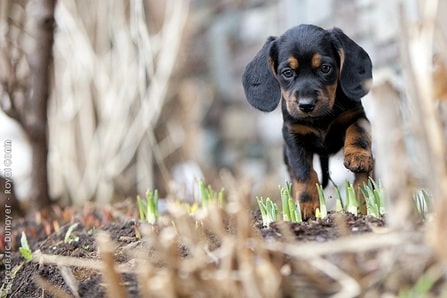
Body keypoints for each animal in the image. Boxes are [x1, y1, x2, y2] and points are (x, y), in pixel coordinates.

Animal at [242, 23, 374, 219]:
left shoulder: (357, 116)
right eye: (287, 72)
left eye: (325, 68)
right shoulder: (293, 135)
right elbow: (303, 171)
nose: (306, 105)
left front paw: (358, 156)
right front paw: (307, 204)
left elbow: (357, 132)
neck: (320, 118)